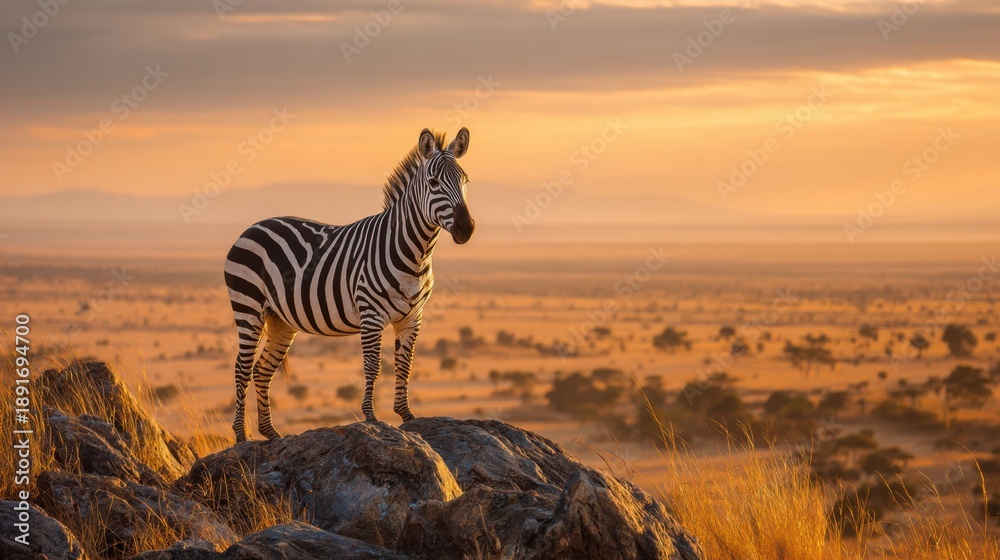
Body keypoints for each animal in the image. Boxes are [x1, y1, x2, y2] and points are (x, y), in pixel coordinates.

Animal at [223, 128, 474, 442]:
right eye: (434, 182)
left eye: (465, 181)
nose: (467, 229)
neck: (416, 253)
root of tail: (252, 227)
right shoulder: (371, 313)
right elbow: (373, 364)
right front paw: (370, 416)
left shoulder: (413, 317)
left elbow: (405, 363)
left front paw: (406, 414)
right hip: (248, 307)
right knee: (242, 369)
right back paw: (241, 437)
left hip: (280, 319)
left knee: (262, 370)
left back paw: (271, 433)